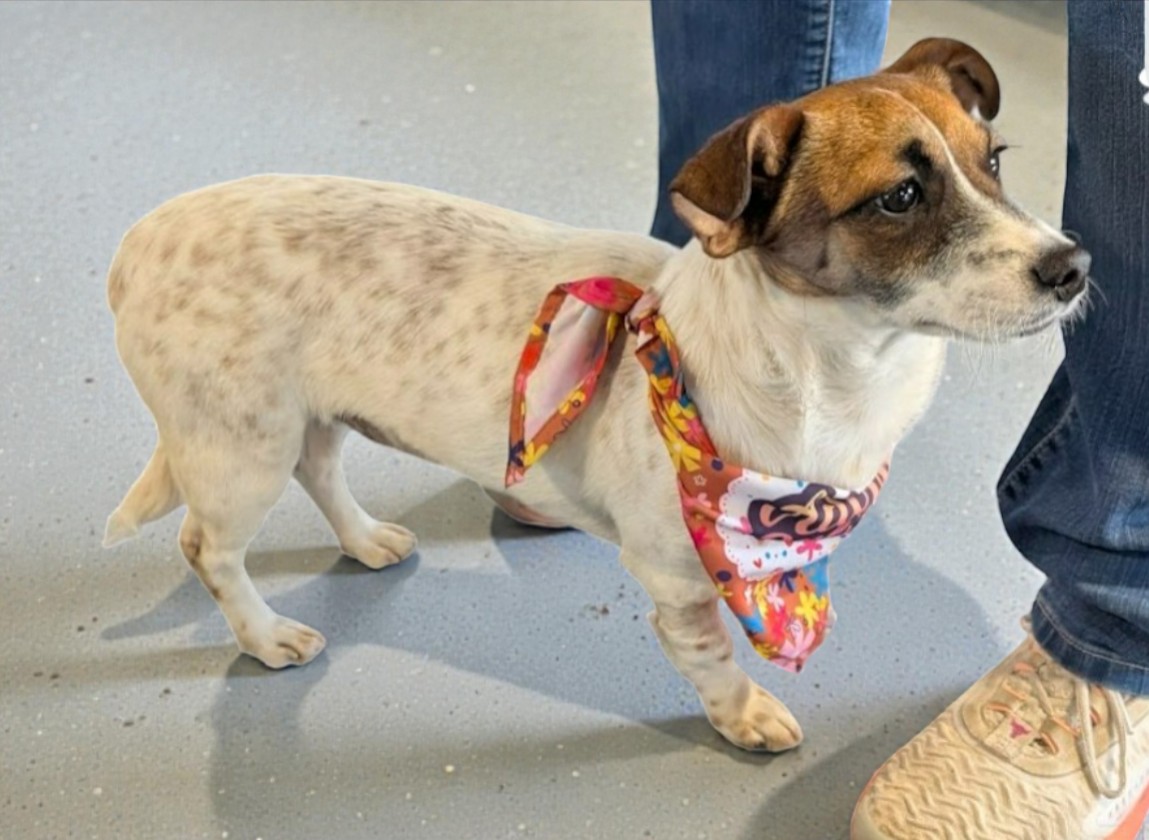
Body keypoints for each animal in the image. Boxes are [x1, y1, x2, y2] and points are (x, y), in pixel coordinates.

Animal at [103, 38, 1089, 752]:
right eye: (899, 196)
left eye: (994, 160)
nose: (1073, 266)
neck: (823, 373)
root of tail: (136, 242)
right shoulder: (681, 578)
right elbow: (712, 657)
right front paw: (742, 717)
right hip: (238, 450)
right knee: (207, 548)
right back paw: (264, 636)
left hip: (299, 419)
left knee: (319, 471)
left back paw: (364, 540)